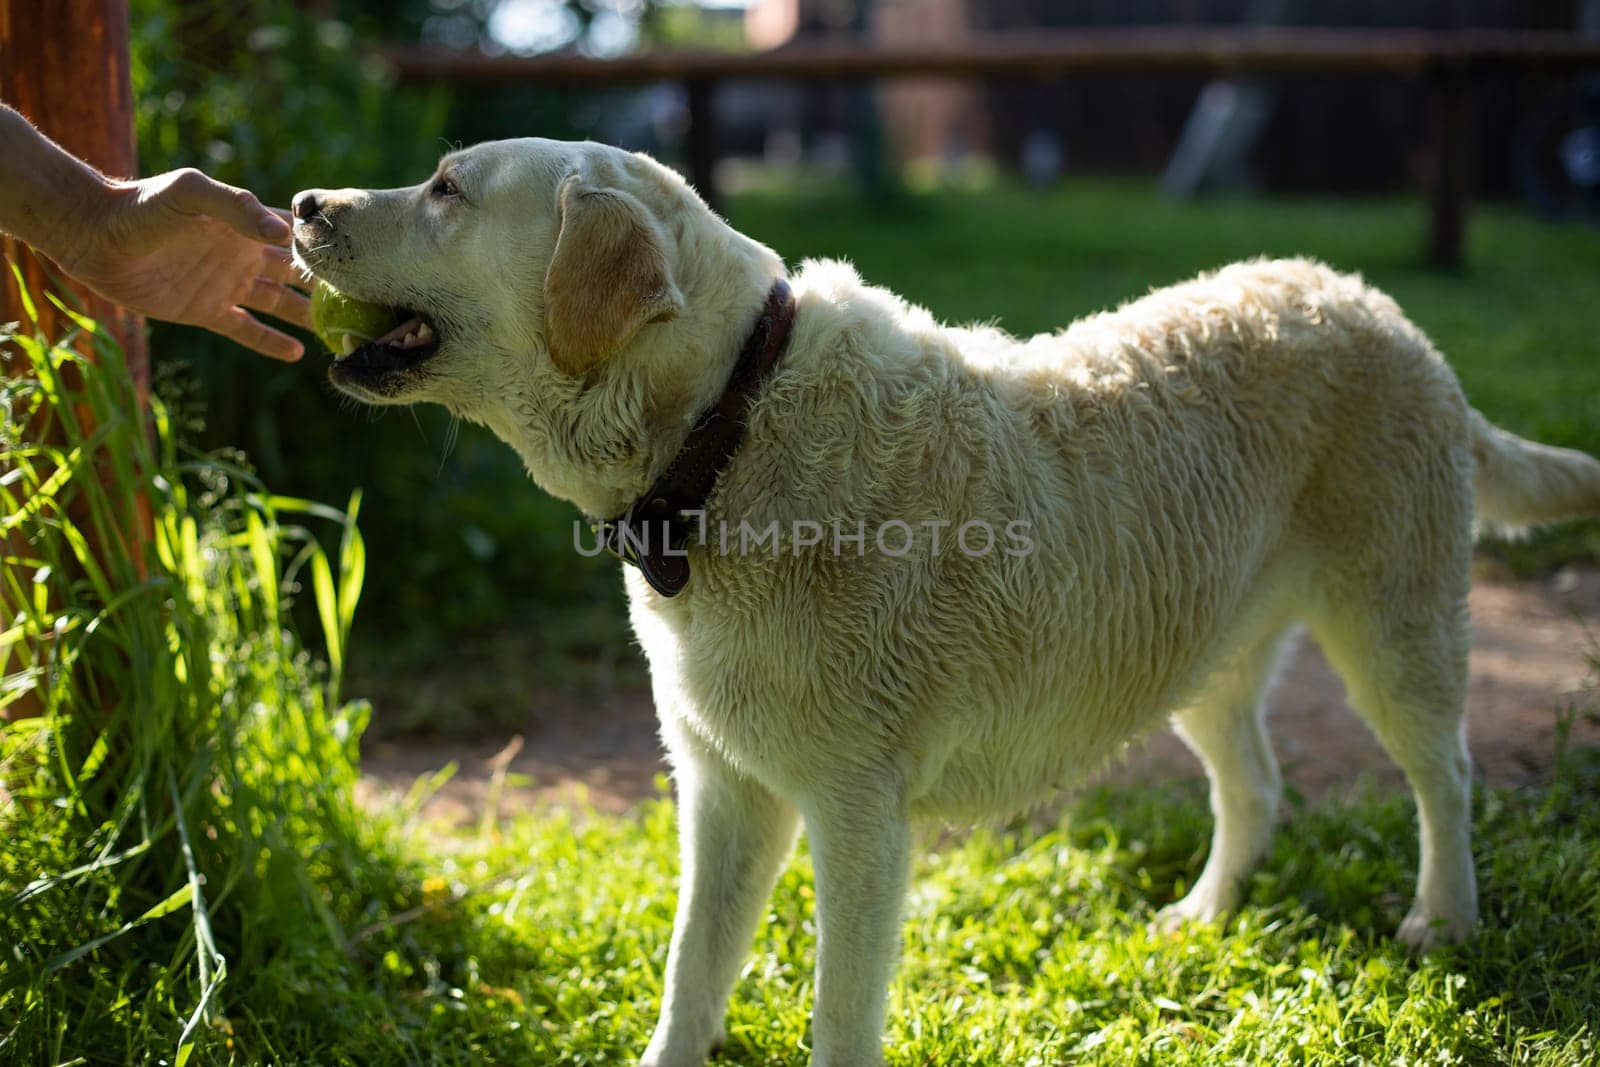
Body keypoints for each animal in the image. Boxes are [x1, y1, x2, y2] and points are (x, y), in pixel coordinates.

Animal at [291, 137, 1600, 1062]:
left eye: (447, 188)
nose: (302, 204)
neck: (728, 426)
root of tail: (1379, 307)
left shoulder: (857, 813)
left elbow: (836, 1013)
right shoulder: (724, 788)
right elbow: (687, 974)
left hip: (1395, 624)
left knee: (1445, 774)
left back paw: (1443, 917)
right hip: (1198, 644)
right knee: (1257, 782)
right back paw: (1204, 913)